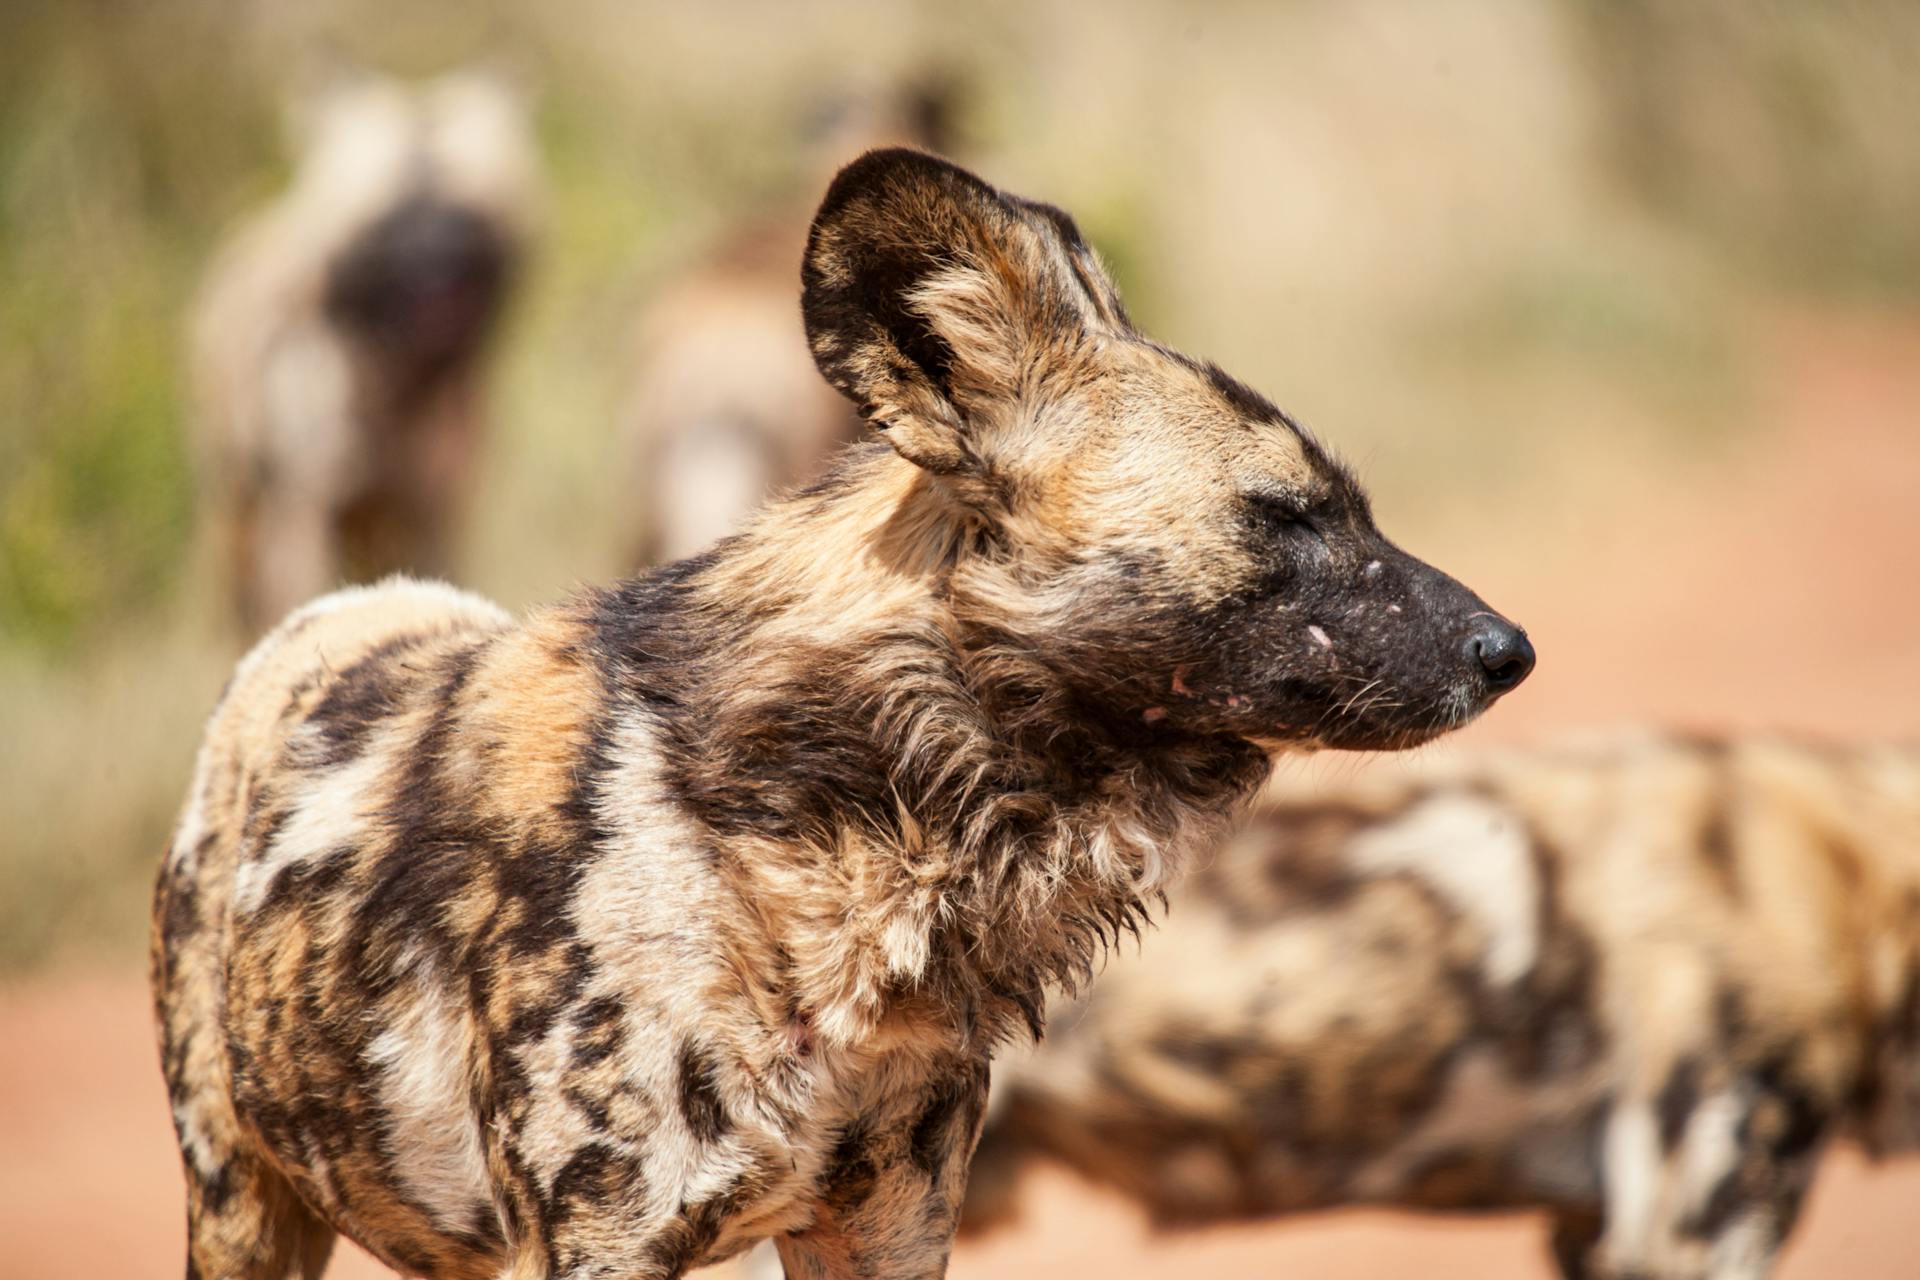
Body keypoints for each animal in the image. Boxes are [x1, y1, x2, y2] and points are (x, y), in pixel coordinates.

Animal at [145, 144, 1528, 1274]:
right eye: (1284, 516)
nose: (1508, 649)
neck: (858, 828)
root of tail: (327, 617)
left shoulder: (887, 1221)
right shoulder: (602, 1238)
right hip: (242, 1208)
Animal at [192, 65, 537, 637]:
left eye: (467, 210)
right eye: (389, 217)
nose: (439, 267)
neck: (395, 387)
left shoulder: (433, 513)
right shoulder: (307, 513)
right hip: (243, 510)